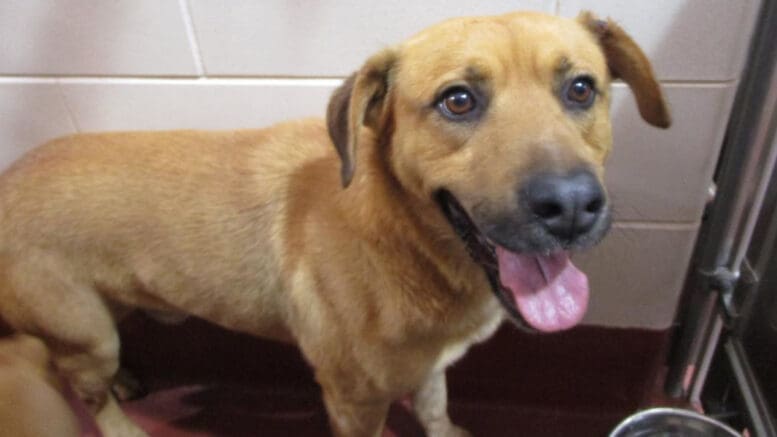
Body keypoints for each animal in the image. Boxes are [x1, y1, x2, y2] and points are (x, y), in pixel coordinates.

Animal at [0, 10, 668, 436]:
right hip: (87, 334)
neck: (403, 240)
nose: (573, 206)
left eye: (581, 88)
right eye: (458, 100)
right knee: (85, 390)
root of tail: (9, 177)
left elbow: (434, 410)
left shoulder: (429, 368)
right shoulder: (353, 401)